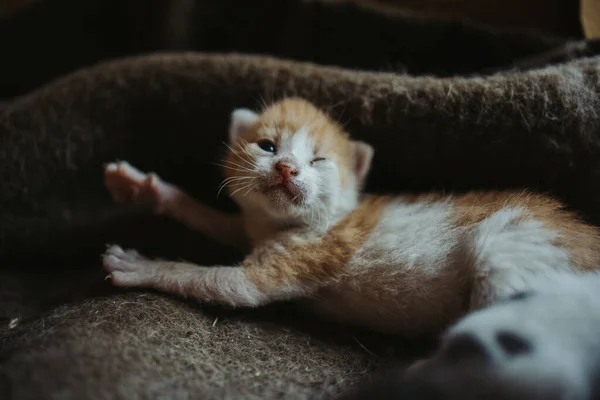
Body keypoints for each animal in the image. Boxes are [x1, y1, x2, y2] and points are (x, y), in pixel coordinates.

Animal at [101, 98, 600, 336]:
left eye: (319, 160)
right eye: (267, 146)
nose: (287, 168)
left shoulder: (305, 254)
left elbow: (223, 282)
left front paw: (141, 265)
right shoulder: (254, 226)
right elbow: (221, 222)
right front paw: (147, 188)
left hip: (513, 250)